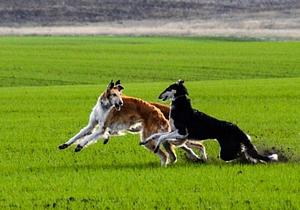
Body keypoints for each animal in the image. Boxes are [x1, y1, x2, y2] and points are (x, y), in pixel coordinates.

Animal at [142, 79, 278, 163]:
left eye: (169, 87)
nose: (159, 96)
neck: (181, 106)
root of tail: (236, 128)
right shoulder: (174, 131)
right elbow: (157, 135)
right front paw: (145, 141)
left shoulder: (181, 132)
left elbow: (162, 137)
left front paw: (156, 147)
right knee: (243, 151)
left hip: (226, 151)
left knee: (239, 153)